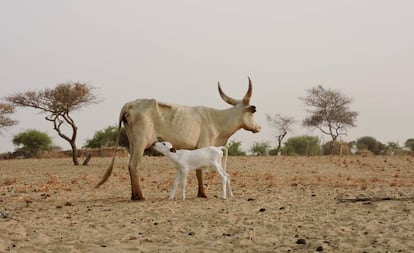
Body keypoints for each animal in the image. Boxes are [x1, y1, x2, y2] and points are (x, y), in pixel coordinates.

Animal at [95, 78, 260, 201]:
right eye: (253, 112)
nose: (259, 127)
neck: (217, 119)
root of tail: (129, 104)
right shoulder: (203, 145)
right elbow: (199, 171)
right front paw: (203, 194)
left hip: (132, 142)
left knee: (130, 165)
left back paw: (133, 195)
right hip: (141, 142)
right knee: (133, 165)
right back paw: (139, 197)